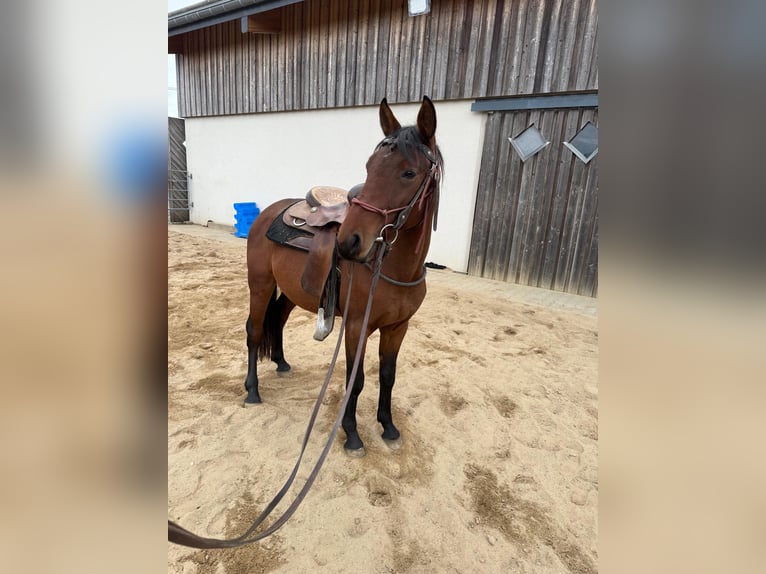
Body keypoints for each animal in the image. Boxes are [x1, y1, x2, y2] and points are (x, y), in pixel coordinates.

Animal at [243, 96, 443, 457]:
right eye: (369, 166)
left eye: (409, 172)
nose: (349, 241)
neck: (390, 267)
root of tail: (269, 212)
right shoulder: (355, 325)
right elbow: (356, 378)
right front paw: (351, 434)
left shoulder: (398, 328)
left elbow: (388, 376)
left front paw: (388, 427)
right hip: (260, 284)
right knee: (254, 330)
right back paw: (252, 390)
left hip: (293, 292)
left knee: (277, 320)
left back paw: (281, 363)